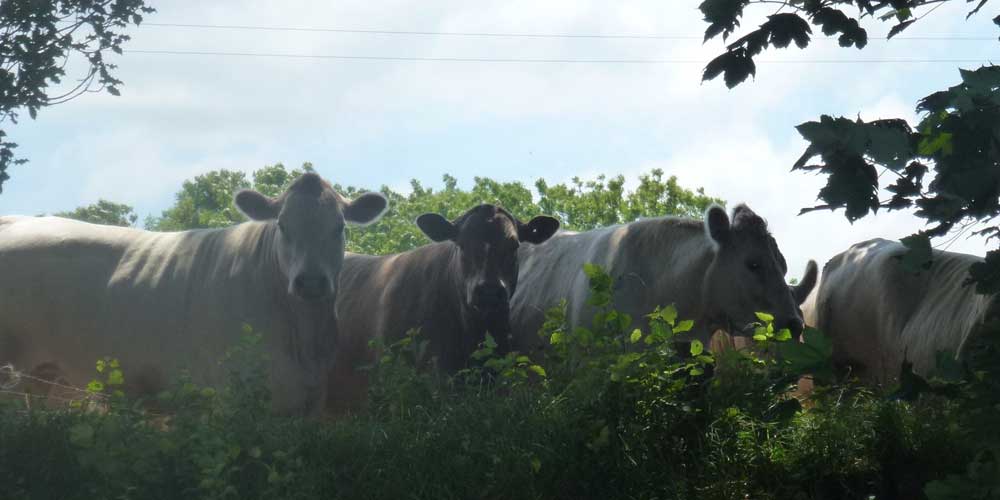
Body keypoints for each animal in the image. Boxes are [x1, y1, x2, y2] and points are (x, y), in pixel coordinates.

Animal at [0, 173, 386, 414]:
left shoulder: (308, 400)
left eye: (339, 227)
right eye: (282, 225)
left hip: (40, 373)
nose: (310, 281)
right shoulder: (232, 395)